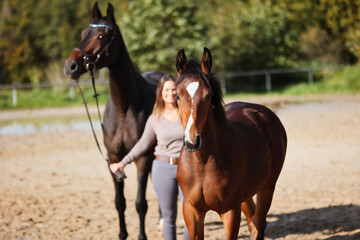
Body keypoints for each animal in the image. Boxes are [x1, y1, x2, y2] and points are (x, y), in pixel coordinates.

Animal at [64, 2, 165, 240]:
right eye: (83, 33)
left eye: (101, 35)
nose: (70, 66)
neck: (123, 109)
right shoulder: (112, 158)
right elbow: (120, 202)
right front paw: (122, 234)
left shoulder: (142, 157)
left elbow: (140, 203)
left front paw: (142, 236)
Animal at [174, 47, 286, 240]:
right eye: (177, 95)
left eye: (208, 95)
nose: (192, 141)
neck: (202, 164)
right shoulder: (191, 211)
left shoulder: (230, 211)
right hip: (246, 194)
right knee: (253, 221)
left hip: (267, 188)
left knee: (258, 224)